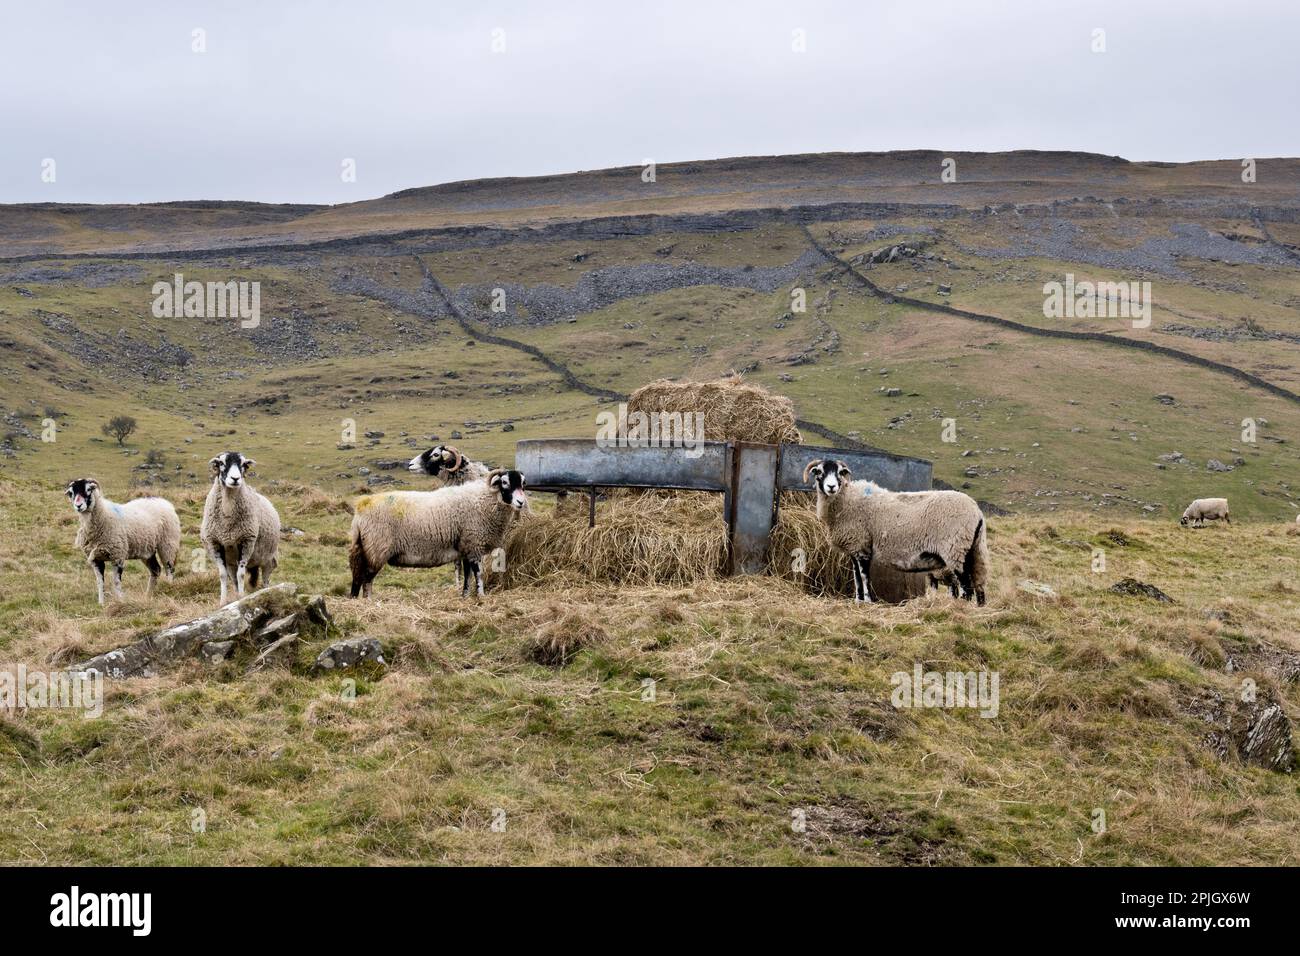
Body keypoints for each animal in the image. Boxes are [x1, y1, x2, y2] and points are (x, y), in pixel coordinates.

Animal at [65, 478, 182, 606]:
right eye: (71, 493)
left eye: (88, 489)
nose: (78, 506)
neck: (103, 516)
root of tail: (164, 502)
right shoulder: (96, 559)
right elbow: (100, 582)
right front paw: (101, 604)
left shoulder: (118, 556)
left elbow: (116, 582)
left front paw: (120, 601)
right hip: (148, 551)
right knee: (156, 570)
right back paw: (148, 596)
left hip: (168, 544)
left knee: (169, 569)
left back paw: (169, 588)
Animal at [198, 452, 280, 600]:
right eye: (221, 463)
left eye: (243, 464)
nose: (235, 479)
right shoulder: (215, 543)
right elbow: (223, 575)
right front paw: (223, 601)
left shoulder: (247, 541)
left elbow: (241, 575)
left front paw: (241, 597)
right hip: (231, 561)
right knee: (234, 578)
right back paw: (236, 594)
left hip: (268, 557)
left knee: (266, 577)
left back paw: (266, 591)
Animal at [351, 465, 527, 598]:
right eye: (504, 482)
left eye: (523, 483)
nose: (521, 502)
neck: (485, 499)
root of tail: (361, 508)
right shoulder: (474, 544)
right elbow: (478, 574)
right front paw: (481, 596)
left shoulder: (466, 546)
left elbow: (467, 575)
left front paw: (465, 595)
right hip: (377, 549)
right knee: (367, 580)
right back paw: (369, 602)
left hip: (364, 549)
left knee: (358, 578)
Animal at [795, 463, 987, 606]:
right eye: (819, 472)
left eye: (839, 473)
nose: (831, 487)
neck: (847, 500)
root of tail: (977, 512)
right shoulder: (854, 548)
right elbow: (857, 578)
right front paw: (858, 601)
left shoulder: (862, 547)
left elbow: (864, 576)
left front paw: (869, 601)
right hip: (975, 550)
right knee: (979, 585)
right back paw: (978, 610)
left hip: (955, 549)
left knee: (966, 586)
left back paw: (961, 607)